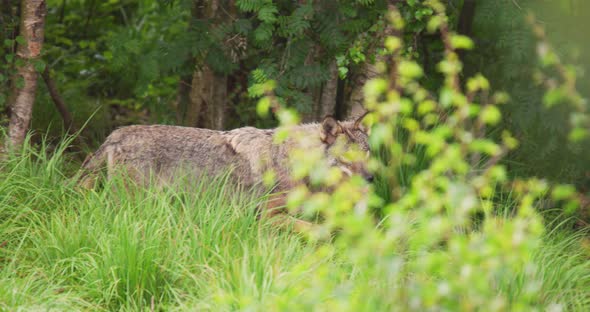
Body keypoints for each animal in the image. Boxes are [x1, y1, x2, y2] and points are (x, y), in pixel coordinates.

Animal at [79, 114, 374, 229]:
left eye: (367, 153)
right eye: (347, 157)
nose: (371, 179)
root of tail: (117, 134)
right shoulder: (266, 217)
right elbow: (312, 229)